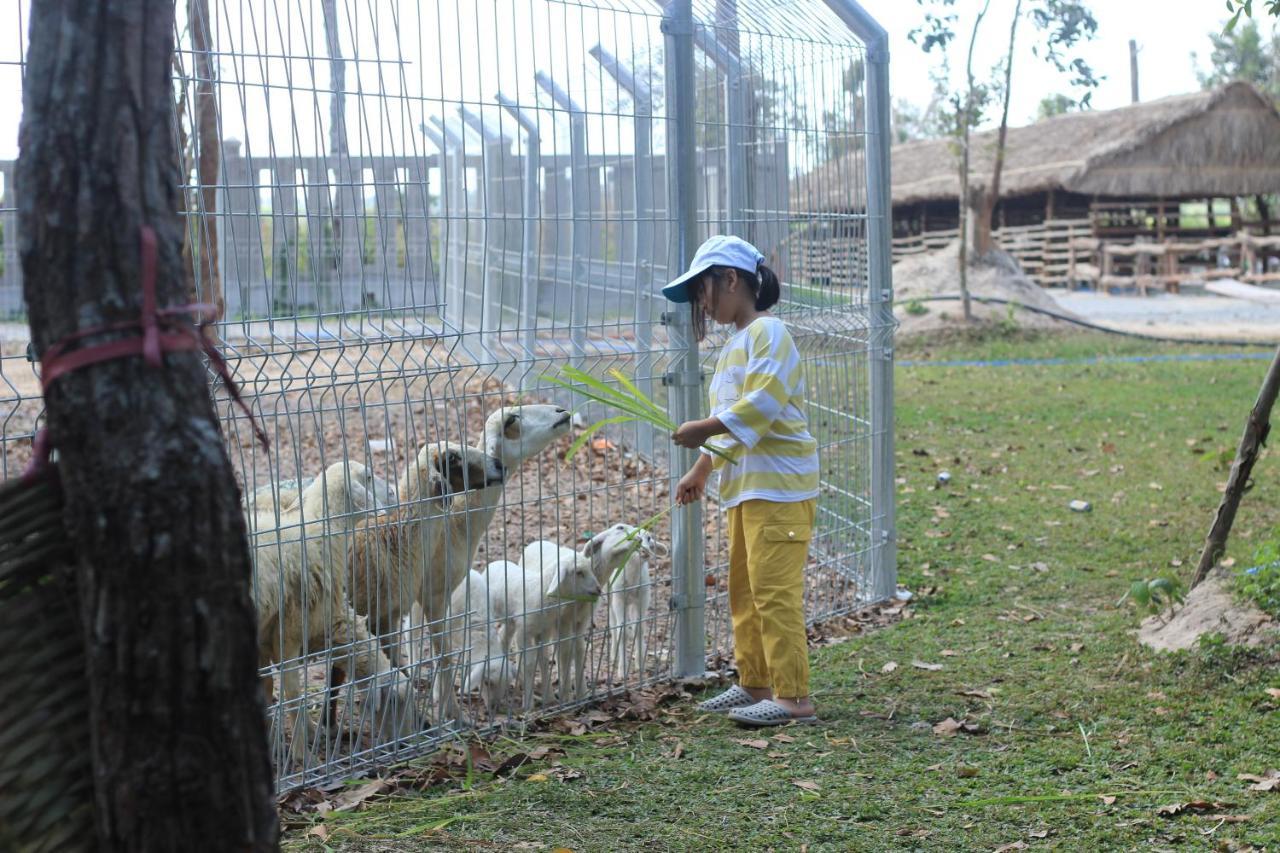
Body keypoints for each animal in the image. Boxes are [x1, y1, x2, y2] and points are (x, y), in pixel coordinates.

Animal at [486, 548, 601, 706]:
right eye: (579, 572)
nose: (599, 589)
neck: (542, 591)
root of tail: (493, 563)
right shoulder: (524, 631)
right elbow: (529, 664)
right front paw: (528, 704)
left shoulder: (543, 630)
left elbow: (543, 659)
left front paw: (548, 698)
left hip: (511, 620)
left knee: (503, 637)